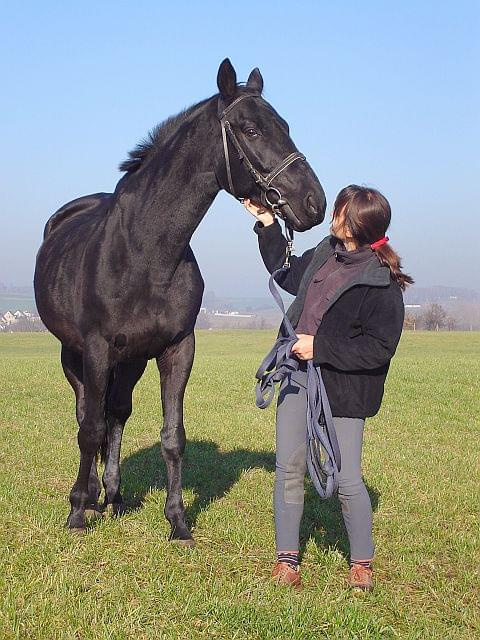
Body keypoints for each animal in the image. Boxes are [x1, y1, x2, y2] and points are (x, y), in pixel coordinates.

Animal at [33, 57, 326, 544]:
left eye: (285, 126)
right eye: (250, 130)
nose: (313, 203)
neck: (145, 251)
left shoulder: (177, 347)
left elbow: (173, 436)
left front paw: (178, 522)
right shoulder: (95, 349)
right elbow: (89, 429)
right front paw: (76, 513)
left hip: (132, 358)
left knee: (117, 414)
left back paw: (113, 497)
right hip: (73, 355)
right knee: (87, 415)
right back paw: (90, 497)